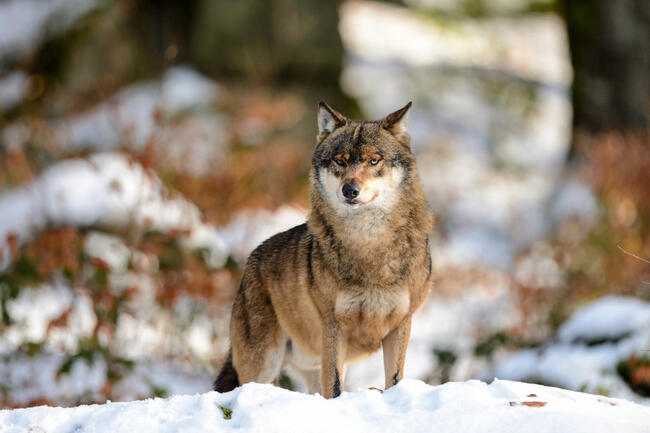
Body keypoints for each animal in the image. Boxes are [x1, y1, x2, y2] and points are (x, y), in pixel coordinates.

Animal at [213, 101, 432, 398]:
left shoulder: (401, 324)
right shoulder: (334, 325)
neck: (368, 243)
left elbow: (394, 379)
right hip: (264, 365)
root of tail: (248, 265)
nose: (350, 190)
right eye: (340, 161)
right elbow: (335, 385)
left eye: (374, 161)